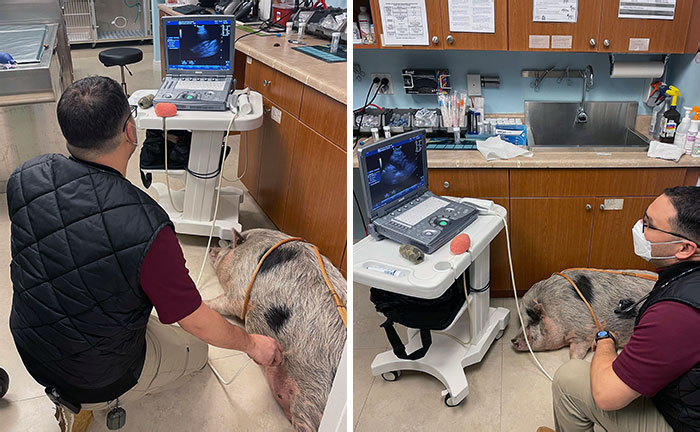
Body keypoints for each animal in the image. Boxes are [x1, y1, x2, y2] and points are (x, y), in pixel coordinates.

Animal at [205, 228, 348, 430]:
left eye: (228, 245)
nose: (212, 247)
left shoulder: (239, 294)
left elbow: (224, 302)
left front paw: (203, 302)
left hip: (309, 399)